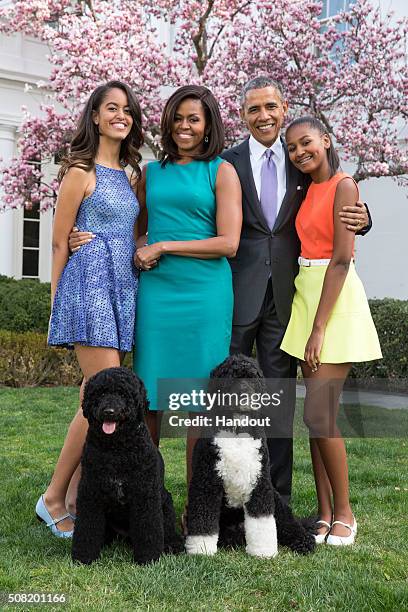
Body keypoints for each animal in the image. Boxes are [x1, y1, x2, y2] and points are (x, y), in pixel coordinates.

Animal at [185, 354, 316, 560]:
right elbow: (203, 519)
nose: (245, 394)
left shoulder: (260, 483)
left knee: (290, 524)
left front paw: (263, 551)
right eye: (231, 377)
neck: (238, 428)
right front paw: (202, 550)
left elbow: (262, 520)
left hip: (277, 500)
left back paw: (304, 541)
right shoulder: (206, 481)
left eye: (253, 376)